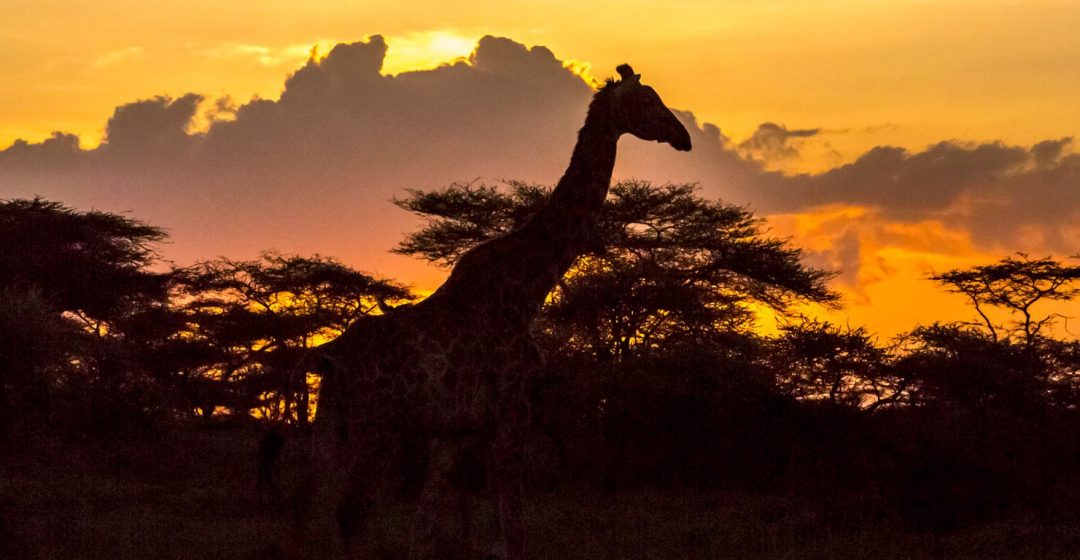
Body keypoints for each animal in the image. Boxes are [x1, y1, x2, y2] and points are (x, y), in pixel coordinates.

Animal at [291, 63, 686, 556]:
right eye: (648, 99)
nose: (683, 136)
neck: (527, 287)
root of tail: (329, 357)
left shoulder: (456, 431)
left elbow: (427, 527)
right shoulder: (512, 412)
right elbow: (512, 532)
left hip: (330, 423)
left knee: (308, 508)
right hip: (374, 427)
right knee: (348, 514)